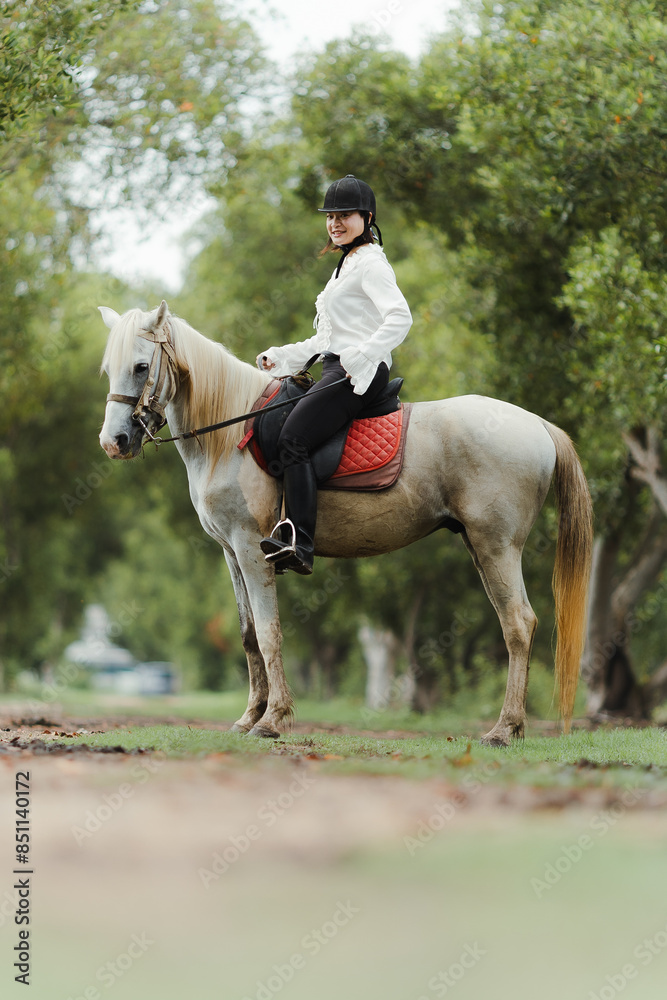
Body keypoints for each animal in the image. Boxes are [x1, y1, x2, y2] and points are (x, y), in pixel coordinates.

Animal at [98, 300, 593, 746]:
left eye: (140, 367)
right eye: (108, 370)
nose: (114, 442)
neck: (229, 435)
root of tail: (537, 425)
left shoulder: (250, 546)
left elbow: (270, 633)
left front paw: (272, 720)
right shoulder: (231, 553)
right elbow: (248, 636)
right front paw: (249, 716)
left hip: (498, 546)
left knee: (518, 624)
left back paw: (504, 729)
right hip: (479, 545)